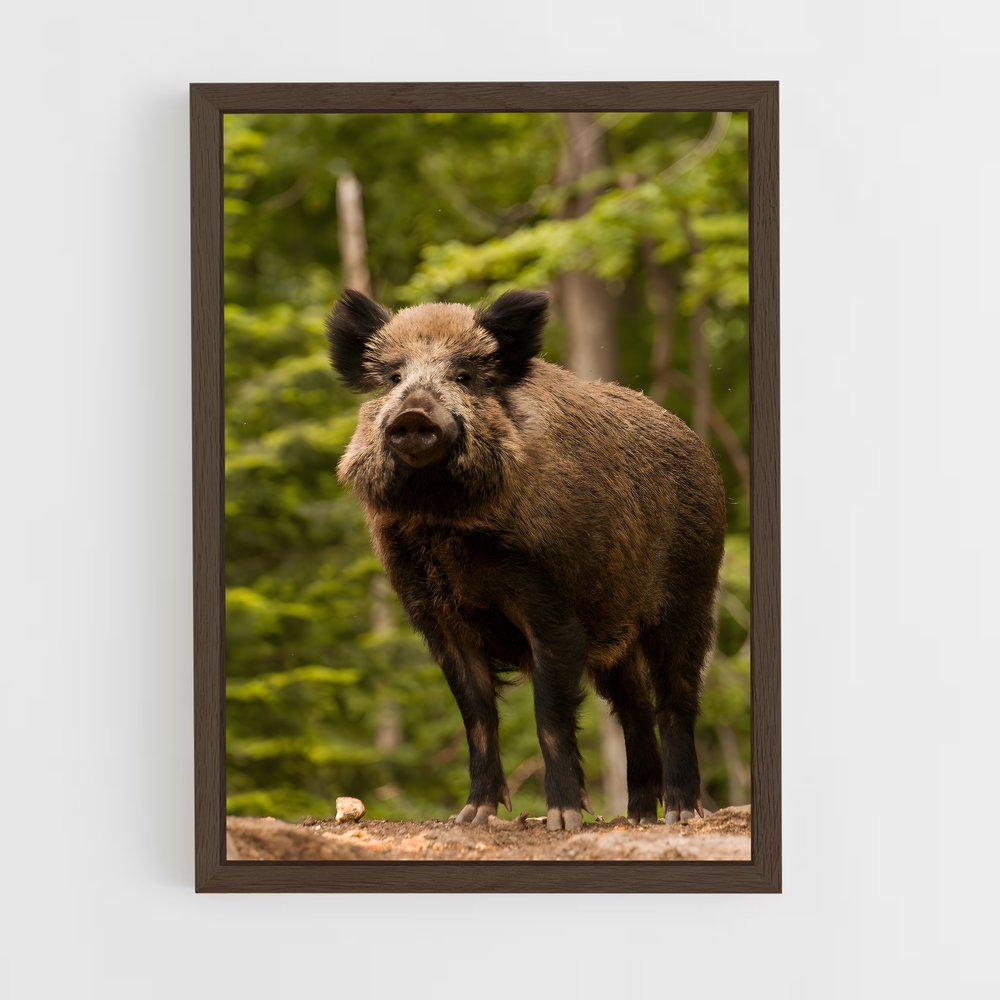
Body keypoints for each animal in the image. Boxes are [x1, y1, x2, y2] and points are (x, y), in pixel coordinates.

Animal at [327, 288, 726, 831]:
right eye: (393, 377)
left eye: (464, 375)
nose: (412, 413)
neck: (444, 520)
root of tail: (701, 449)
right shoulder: (436, 616)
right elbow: (476, 716)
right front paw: (470, 816)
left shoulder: (551, 606)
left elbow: (549, 716)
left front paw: (562, 820)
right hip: (615, 631)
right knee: (635, 708)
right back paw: (639, 816)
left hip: (690, 594)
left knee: (677, 699)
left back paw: (681, 814)